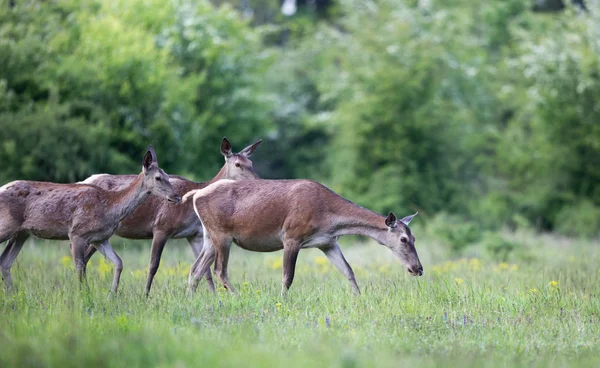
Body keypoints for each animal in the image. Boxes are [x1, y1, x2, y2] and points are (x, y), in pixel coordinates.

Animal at [0, 147, 178, 294]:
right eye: (158, 178)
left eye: (168, 176)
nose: (176, 196)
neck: (110, 208)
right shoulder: (76, 233)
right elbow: (80, 267)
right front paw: (83, 296)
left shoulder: (99, 238)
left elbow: (118, 262)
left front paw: (111, 295)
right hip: (7, 226)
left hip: (21, 233)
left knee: (5, 262)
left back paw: (13, 296)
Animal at [78, 138, 262, 296]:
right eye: (238, 164)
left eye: (251, 163)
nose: (258, 180)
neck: (190, 209)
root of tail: (83, 180)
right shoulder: (161, 227)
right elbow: (153, 265)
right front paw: (145, 295)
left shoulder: (194, 235)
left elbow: (205, 270)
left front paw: (213, 295)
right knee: (83, 257)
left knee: (85, 258)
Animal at [185, 177, 424, 294]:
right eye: (403, 239)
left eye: (414, 238)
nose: (418, 269)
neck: (330, 219)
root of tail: (196, 195)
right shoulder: (292, 236)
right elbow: (287, 277)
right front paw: (282, 302)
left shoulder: (327, 243)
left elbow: (348, 271)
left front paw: (359, 299)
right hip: (222, 234)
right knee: (219, 270)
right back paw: (236, 296)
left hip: (209, 237)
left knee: (196, 269)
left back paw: (191, 300)